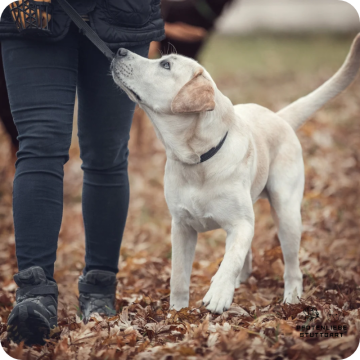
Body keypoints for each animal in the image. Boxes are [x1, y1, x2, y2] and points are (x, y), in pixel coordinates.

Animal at [111, 35, 360, 314]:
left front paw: (219, 293)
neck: (198, 160)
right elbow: (178, 276)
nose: (119, 51)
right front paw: (177, 311)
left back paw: (292, 298)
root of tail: (279, 117)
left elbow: (232, 257)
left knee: (292, 266)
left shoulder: (240, 223)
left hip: (286, 211)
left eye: (165, 65)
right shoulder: (182, 226)